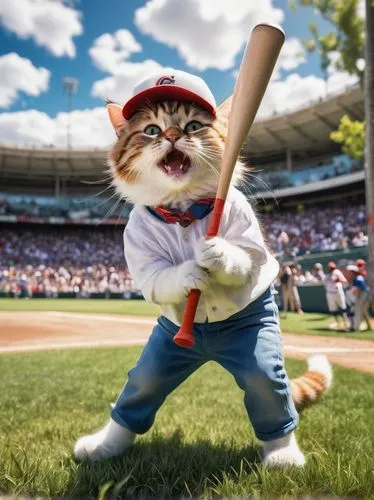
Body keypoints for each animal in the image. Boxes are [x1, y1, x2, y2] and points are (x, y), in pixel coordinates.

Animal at [74, 70, 332, 464]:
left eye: (193, 126)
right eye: (151, 130)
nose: (172, 135)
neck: (183, 208)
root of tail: (204, 349)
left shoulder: (241, 216)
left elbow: (248, 258)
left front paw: (216, 253)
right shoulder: (136, 238)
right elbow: (155, 278)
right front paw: (189, 272)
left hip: (254, 335)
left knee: (266, 386)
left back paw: (282, 453)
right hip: (165, 348)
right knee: (141, 387)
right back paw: (104, 444)